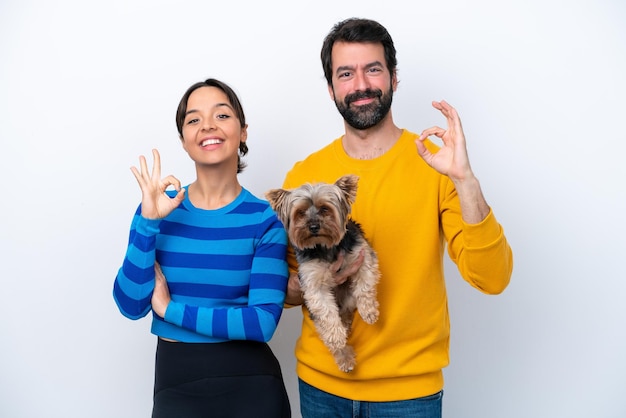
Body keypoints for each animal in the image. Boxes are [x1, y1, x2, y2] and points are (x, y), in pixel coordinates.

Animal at [264, 174, 378, 372]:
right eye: (300, 213)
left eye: (325, 209)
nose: (314, 226)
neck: (325, 247)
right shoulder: (313, 284)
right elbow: (326, 312)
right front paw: (337, 336)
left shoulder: (362, 256)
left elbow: (365, 286)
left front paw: (369, 312)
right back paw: (344, 354)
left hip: (349, 299)